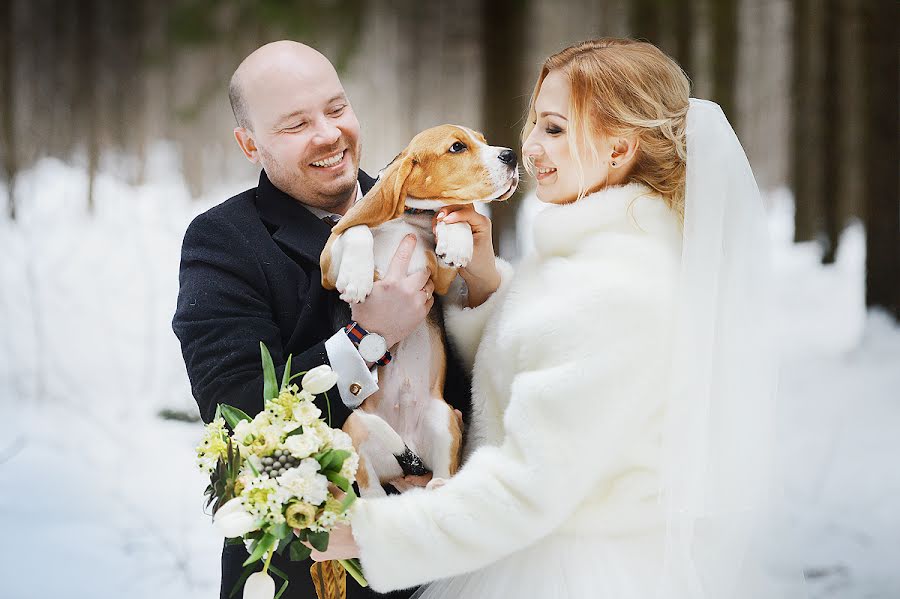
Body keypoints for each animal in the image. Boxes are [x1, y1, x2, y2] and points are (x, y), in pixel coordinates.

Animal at [318, 125, 516, 496]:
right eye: (457, 147)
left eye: (482, 140)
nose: (511, 155)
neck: (409, 220)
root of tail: (407, 456)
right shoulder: (327, 266)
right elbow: (355, 228)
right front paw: (356, 276)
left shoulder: (438, 277)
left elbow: (452, 214)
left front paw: (455, 237)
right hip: (355, 424)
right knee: (368, 487)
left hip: (444, 418)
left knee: (440, 474)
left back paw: (438, 485)